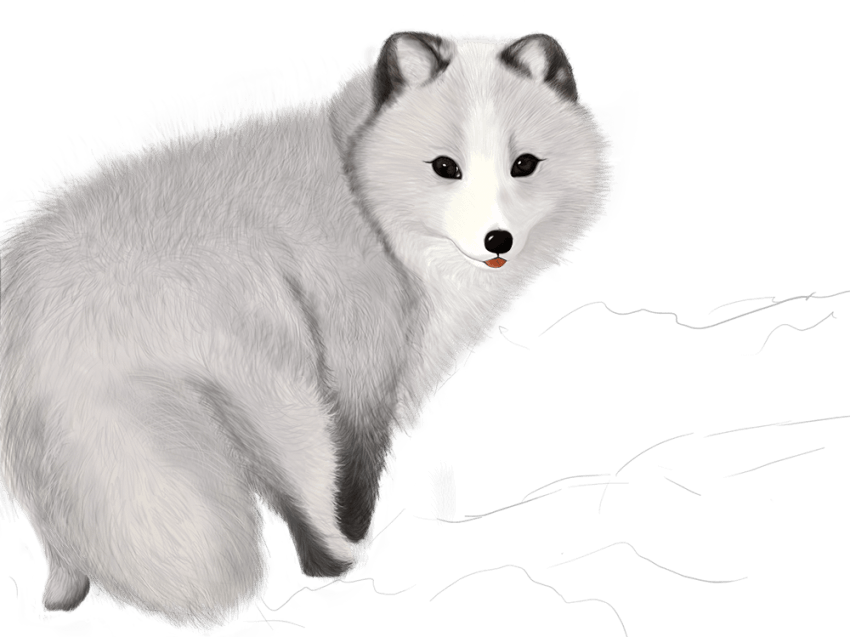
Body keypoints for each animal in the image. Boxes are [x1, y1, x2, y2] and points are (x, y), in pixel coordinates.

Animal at [0, 29, 616, 630]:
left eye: (524, 164)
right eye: (445, 167)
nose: (497, 240)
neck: (359, 186)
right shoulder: (362, 367)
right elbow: (358, 474)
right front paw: (359, 542)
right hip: (285, 388)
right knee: (304, 486)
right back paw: (333, 568)